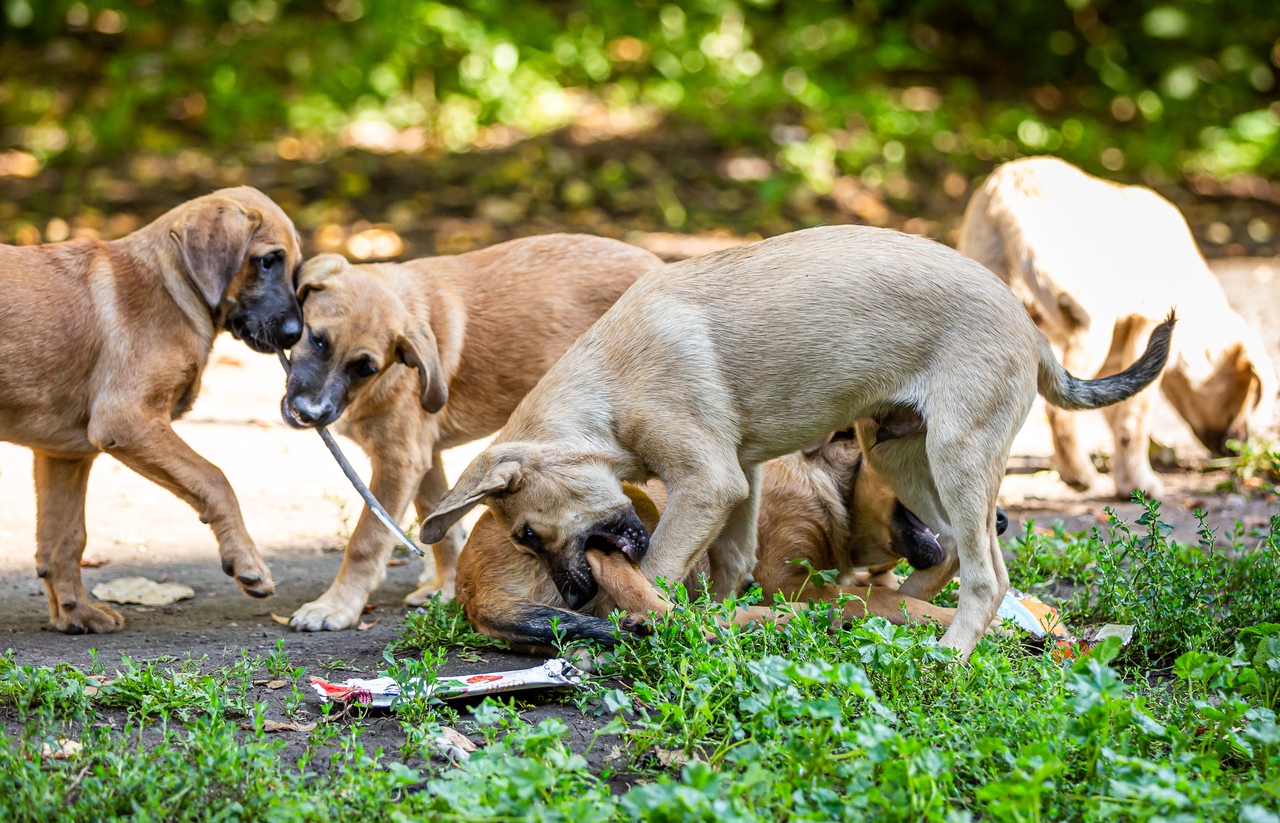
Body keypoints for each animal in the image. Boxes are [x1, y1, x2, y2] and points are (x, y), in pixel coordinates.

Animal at [0, 189, 304, 634]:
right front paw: (248, 564)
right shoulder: (125, 420)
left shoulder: (64, 455)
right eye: (267, 261)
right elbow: (215, 479)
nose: (296, 335)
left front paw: (76, 613)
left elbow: (65, 538)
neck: (174, 287)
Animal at [280, 231, 660, 632]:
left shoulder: (400, 459)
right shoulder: (424, 457)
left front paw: (335, 606)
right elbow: (440, 525)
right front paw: (443, 588)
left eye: (365, 367)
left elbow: (367, 538)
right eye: (317, 339)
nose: (309, 413)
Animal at [453, 432, 1008, 650]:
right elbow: (886, 601)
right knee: (655, 608)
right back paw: (772, 620)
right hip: (630, 511)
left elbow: (892, 589)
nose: (1000, 521)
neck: (829, 488)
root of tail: (471, 590)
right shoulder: (793, 581)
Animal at [962, 158, 1269, 499]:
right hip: (1090, 326)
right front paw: (1139, 483)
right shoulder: (1143, 325)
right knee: (1058, 410)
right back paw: (1079, 475)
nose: (1238, 449)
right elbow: (1132, 420)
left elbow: (1114, 406)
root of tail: (1006, 194)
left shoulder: (1118, 358)